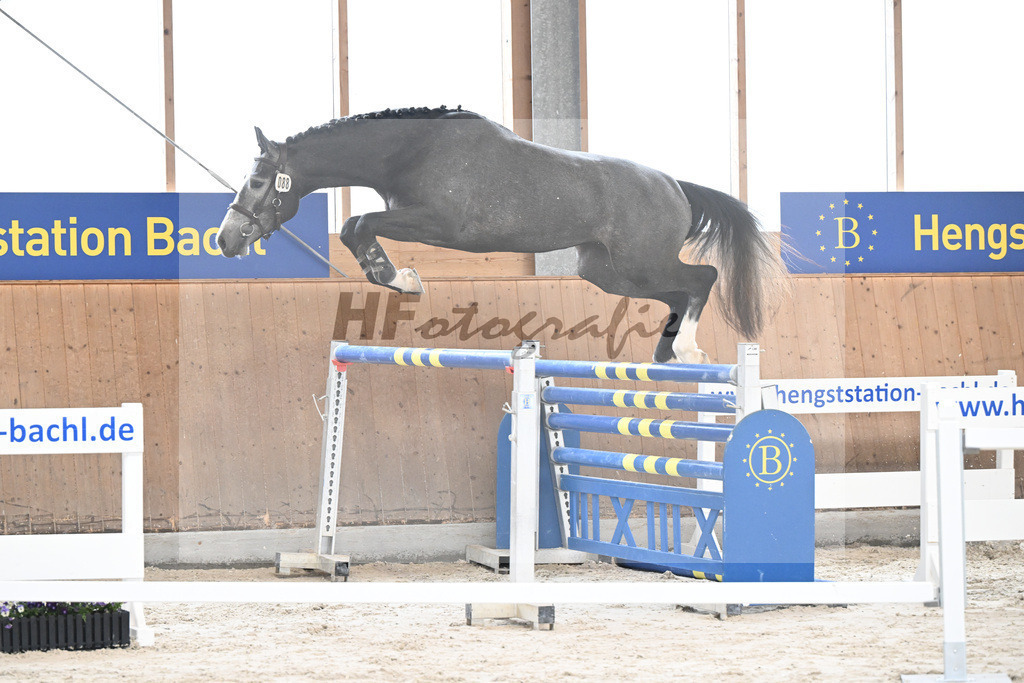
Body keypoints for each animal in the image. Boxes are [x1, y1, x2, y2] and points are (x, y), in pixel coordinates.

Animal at [216, 106, 785, 363]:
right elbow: (357, 226)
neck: (411, 148)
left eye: (259, 180)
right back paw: (667, 355)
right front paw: (399, 278)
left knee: (701, 278)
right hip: (609, 272)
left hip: (639, 262)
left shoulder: (442, 224)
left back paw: (687, 351)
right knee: (679, 292)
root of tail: (674, 185)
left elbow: (358, 224)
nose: (226, 239)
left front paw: (401, 279)